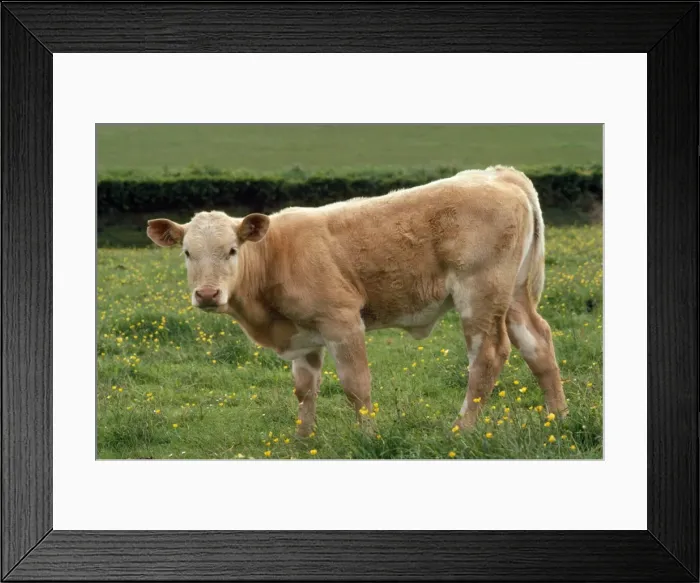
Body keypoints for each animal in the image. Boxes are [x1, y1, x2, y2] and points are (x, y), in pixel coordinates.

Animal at [147, 165, 568, 437]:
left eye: (232, 250)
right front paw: (303, 441)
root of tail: (498, 174)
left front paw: (367, 435)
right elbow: (304, 389)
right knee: (538, 343)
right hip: (513, 295)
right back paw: (557, 418)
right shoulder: (303, 336)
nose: (207, 294)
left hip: (480, 293)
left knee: (488, 356)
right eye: (187, 252)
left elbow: (355, 385)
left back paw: (461, 430)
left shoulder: (343, 321)